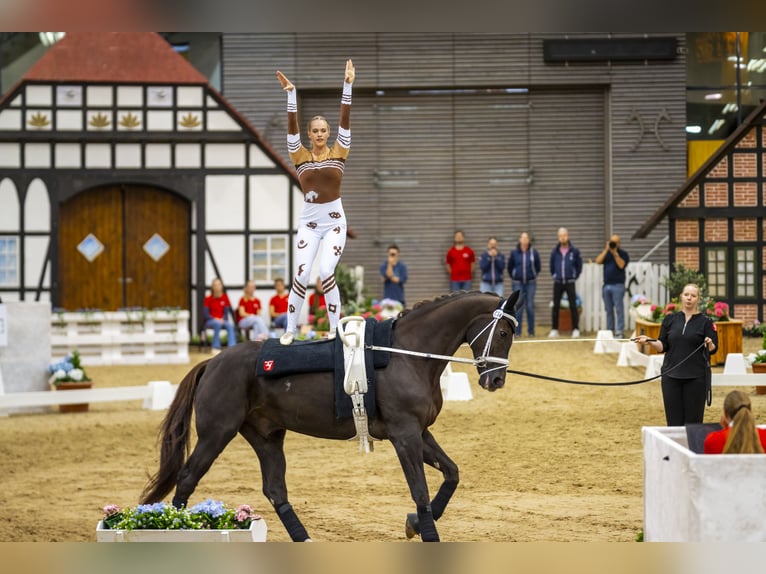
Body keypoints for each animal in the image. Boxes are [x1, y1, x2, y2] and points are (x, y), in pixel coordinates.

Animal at [140, 292, 520, 544]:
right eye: (503, 333)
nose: (496, 380)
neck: (407, 355)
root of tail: (213, 362)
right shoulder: (405, 436)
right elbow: (421, 491)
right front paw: (425, 530)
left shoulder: (420, 433)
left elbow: (451, 474)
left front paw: (413, 523)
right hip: (217, 433)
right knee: (187, 478)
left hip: (266, 436)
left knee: (275, 490)